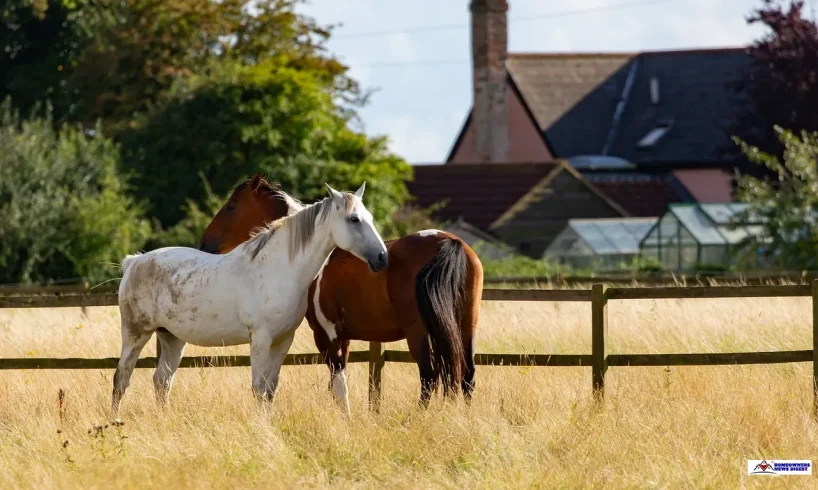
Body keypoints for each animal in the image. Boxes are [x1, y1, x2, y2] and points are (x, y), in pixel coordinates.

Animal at [111, 184, 386, 414]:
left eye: (369, 218)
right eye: (353, 219)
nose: (382, 257)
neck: (279, 268)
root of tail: (135, 262)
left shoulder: (283, 340)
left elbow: (271, 389)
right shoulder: (261, 339)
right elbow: (258, 388)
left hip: (172, 339)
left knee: (162, 381)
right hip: (135, 334)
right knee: (121, 378)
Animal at [198, 174, 482, 412]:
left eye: (231, 206)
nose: (205, 243)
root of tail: (449, 242)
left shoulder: (326, 335)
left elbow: (338, 383)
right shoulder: (343, 337)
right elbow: (336, 386)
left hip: (419, 331)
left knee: (429, 376)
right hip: (465, 326)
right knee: (466, 376)